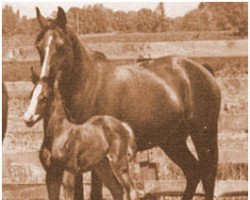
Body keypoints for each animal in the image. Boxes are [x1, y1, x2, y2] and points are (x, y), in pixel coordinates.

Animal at [24, 71, 139, 199]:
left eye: (44, 98)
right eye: (31, 95)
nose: (27, 119)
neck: (59, 134)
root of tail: (122, 124)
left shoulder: (68, 172)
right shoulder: (51, 175)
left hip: (119, 163)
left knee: (132, 190)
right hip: (102, 166)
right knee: (117, 190)